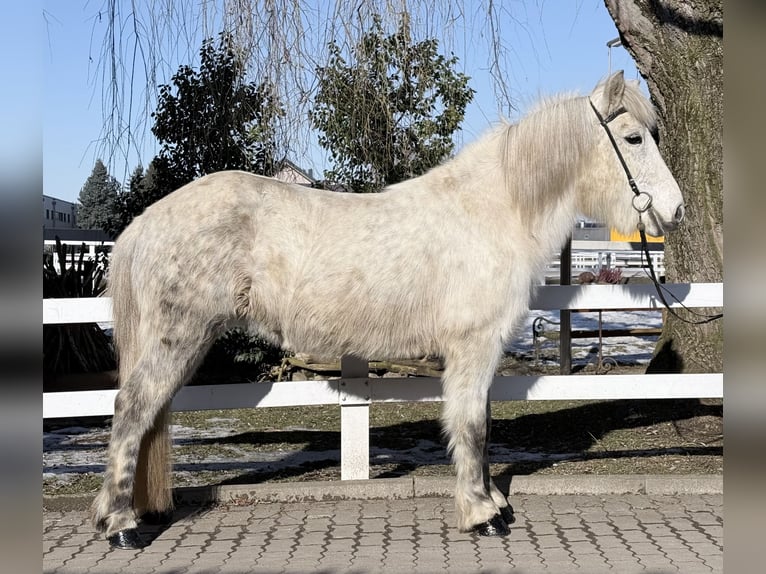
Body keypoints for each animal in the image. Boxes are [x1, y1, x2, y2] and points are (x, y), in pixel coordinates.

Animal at [92, 71, 684, 549]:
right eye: (633, 138)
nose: (675, 210)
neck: (494, 211)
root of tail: (145, 222)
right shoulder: (473, 345)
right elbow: (471, 425)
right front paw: (482, 515)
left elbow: (483, 423)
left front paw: (490, 501)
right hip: (179, 337)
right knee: (132, 410)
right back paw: (120, 526)